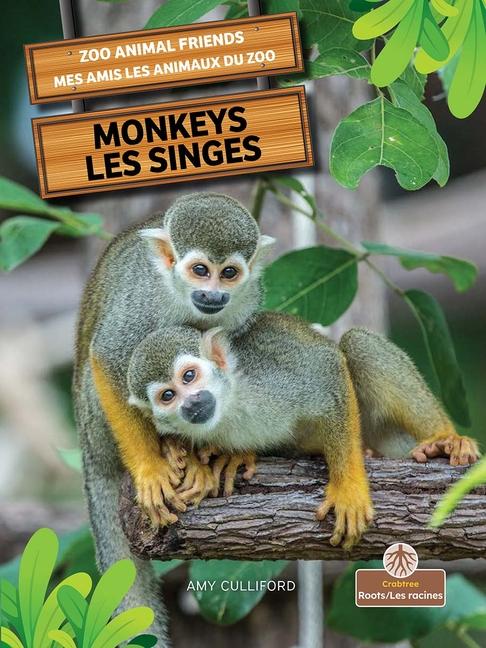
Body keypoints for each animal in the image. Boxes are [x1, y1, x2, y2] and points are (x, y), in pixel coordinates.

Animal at [73, 193, 274, 642]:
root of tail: (89, 454)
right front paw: (150, 468)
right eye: (200, 270)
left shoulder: (247, 300)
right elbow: (108, 358)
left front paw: (227, 452)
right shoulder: (142, 299)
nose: (213, 295)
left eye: (229, 273)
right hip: (95, 424)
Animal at [127, 314, 480, 551]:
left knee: (357, 345)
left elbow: (328, 371)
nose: (192, 403)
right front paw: (212, 460)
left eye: (189, 376)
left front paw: (348, 488)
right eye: (167, 396)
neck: (230, 406)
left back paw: (443, 440)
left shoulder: (271, 378)